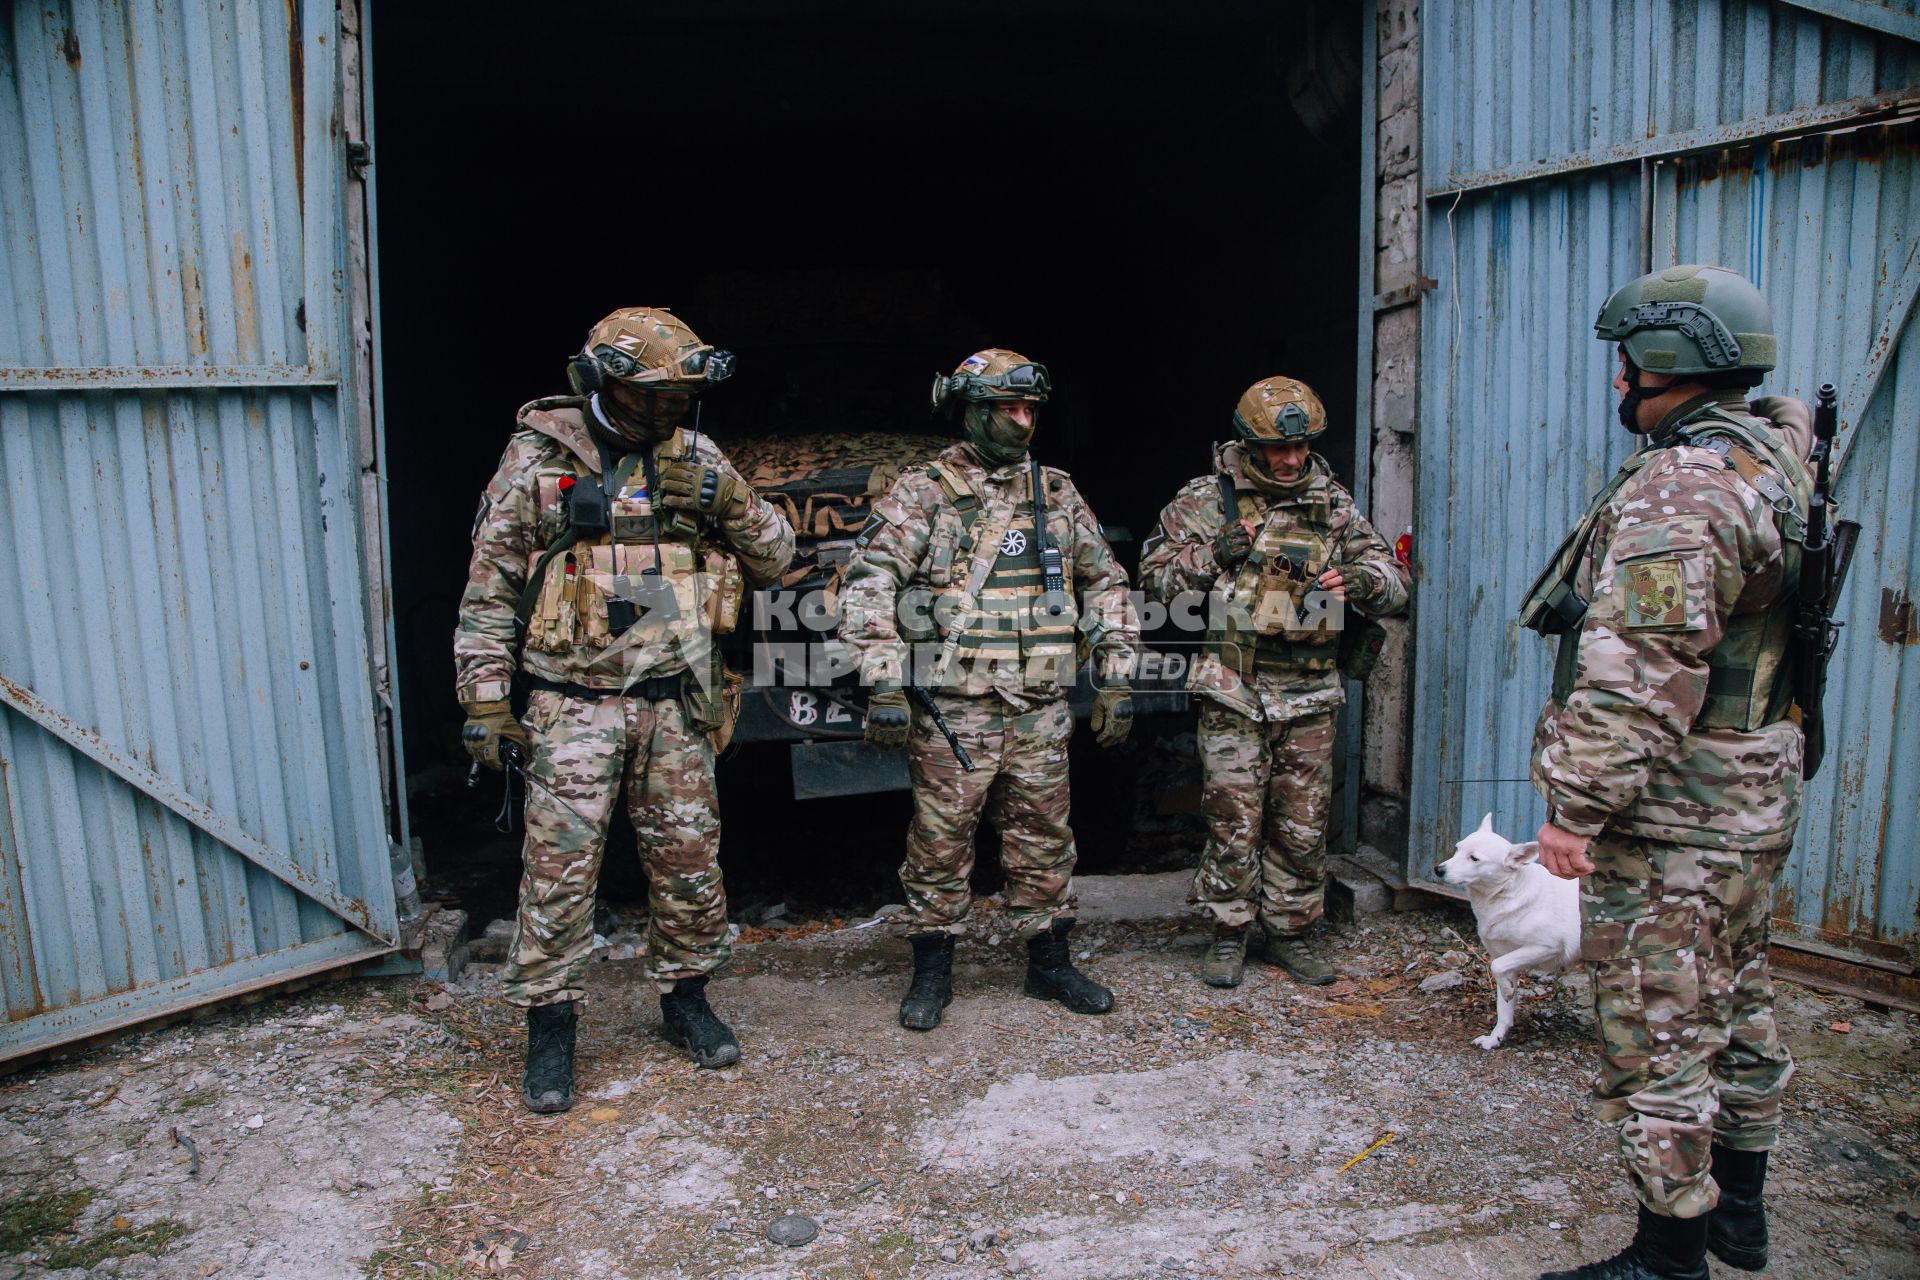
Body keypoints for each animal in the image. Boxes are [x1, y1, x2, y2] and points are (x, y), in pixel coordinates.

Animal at [1443, 817, 1574, 1043]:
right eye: (1457, 849)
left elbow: (1496, 967)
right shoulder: (1507, 957)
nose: (1438, 869)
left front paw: (1506, 991)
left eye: (1474, 858)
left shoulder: (1547, 946)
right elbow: (1503, 1007)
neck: (1506, 893)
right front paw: (1494, 1039)